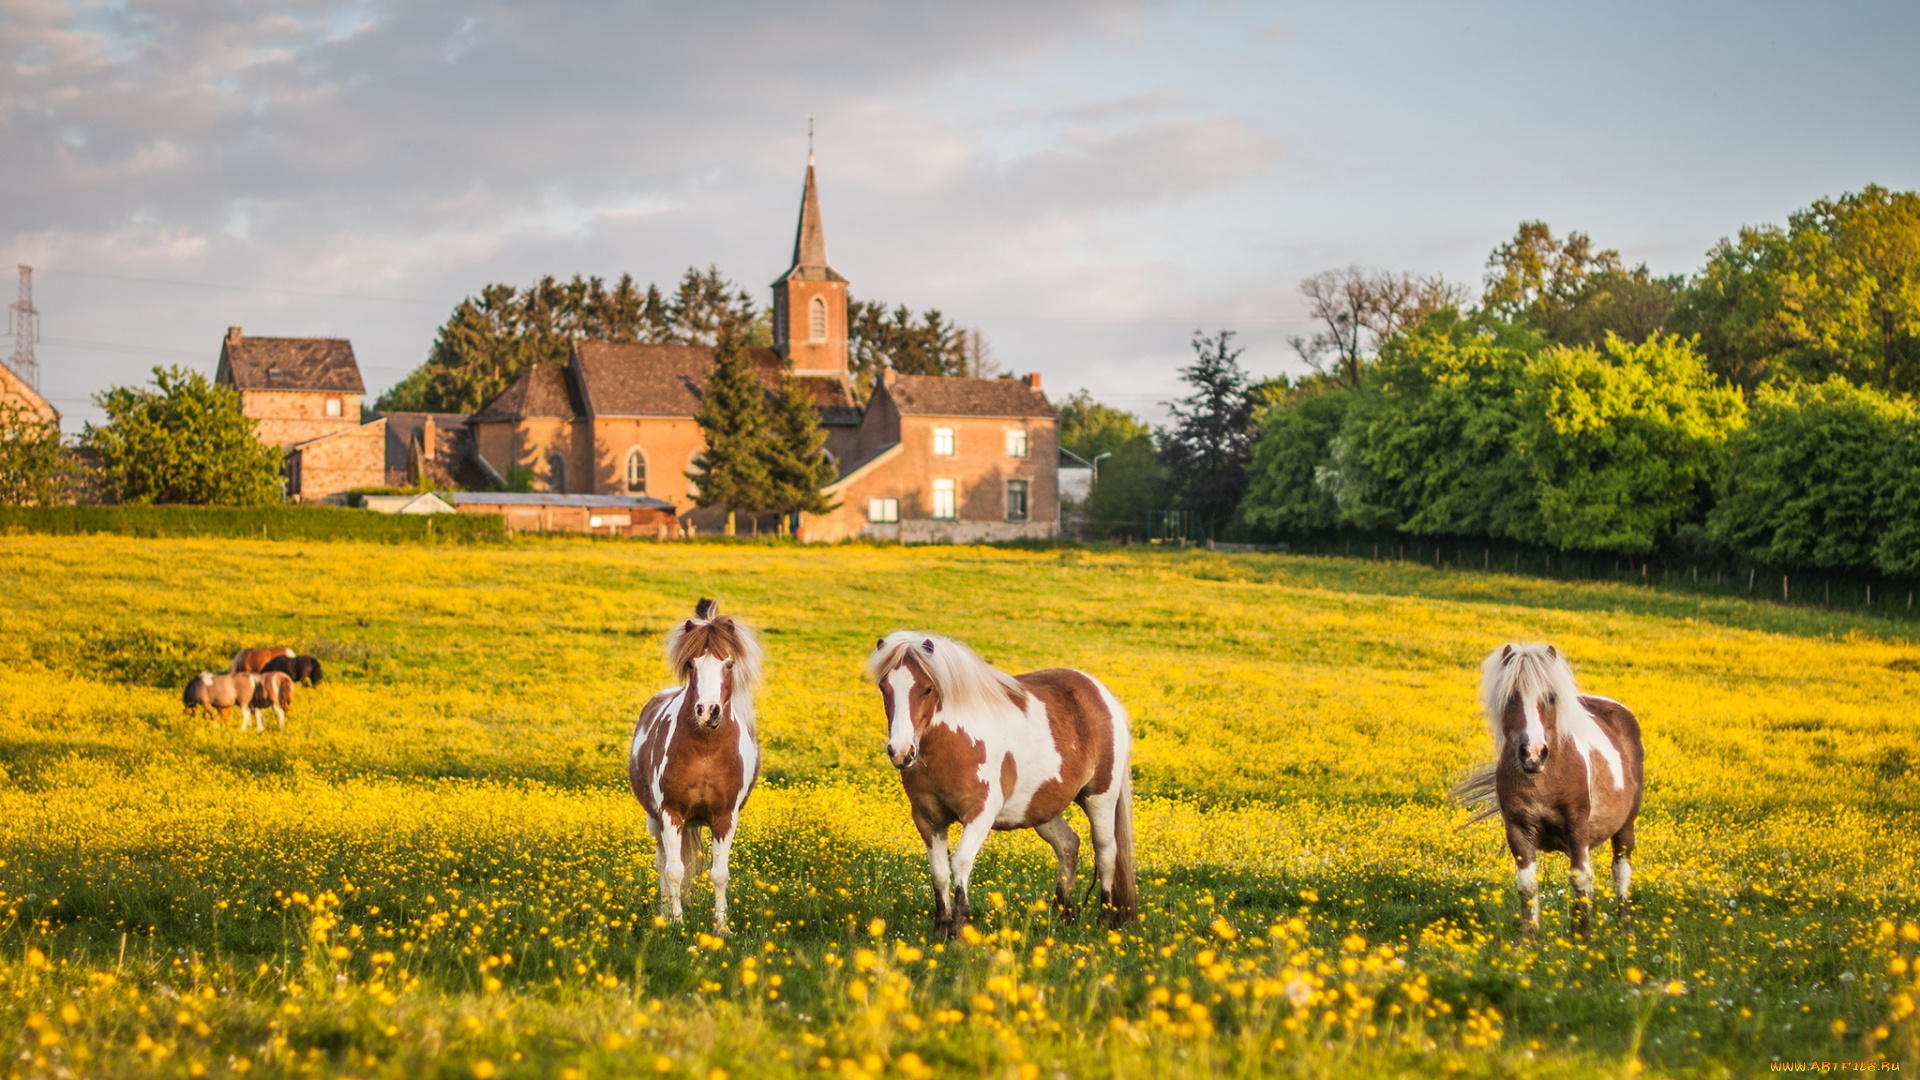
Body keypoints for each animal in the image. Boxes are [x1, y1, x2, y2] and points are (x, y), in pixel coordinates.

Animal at [618, 591, 760, 930]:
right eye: (691, 664)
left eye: (728, 664)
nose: (707, 711)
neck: (705, 751)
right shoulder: (671, 813)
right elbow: (674, 871)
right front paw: (677, 922)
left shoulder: (725, 817)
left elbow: (719, 875)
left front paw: (721, 927)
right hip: (655, 819)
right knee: (661, 863)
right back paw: (663, 912)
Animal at [864, 630, 1128, 933]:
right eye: (884, 688)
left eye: (927, 689)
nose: (900, 751)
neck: (956, 742)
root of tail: (1101, 694)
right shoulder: (927, 819)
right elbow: (939, 873)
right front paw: (941, 926)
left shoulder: (980, 813)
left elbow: (961, 862)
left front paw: (959, 926)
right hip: (1042, 808)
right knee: (1068, 846)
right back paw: (1063, 915)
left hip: (1101, 798)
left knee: (1106, 852)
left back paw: (1104, 919)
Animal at [1451, 641, 1651, 937]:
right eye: (1511, 697)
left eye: (1551, 697)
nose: (1533, 753)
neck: (1542, 778)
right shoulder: (1518, 830)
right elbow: (1528, 884)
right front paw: (1529, 938)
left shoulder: (1578, 826)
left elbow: (1579, 878)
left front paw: (1581, 938)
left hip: (1625, 826)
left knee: (1621, 871)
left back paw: (1626, 931)